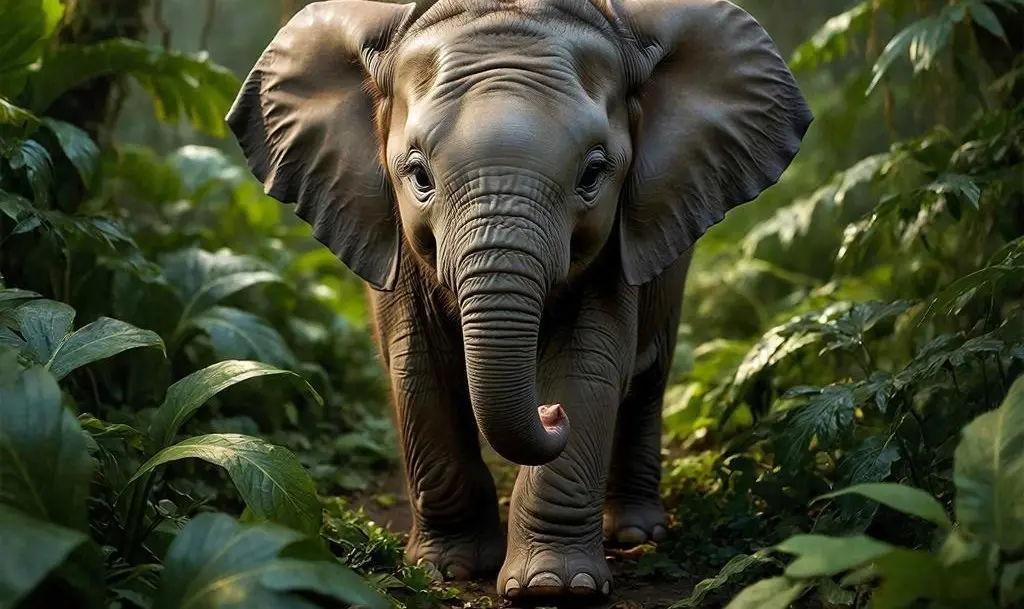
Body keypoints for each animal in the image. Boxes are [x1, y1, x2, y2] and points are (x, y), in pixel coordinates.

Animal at [227, 0, 810, 599]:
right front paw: (448, 569)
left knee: (649, 377)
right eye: (418, 176)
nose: (548, 413)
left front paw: (552, 588)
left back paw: (636, 533)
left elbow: (587, 365)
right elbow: (419, 366)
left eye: (593, 174)